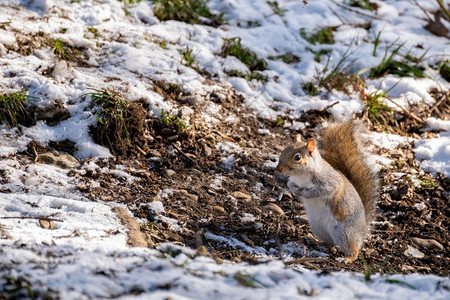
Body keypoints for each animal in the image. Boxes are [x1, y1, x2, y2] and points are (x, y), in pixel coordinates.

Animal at [276, 120, 378, 262]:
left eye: (297, 157)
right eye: (284, 150)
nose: (279, 169)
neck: (301, 176)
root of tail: (362, 231)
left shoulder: (330, 182)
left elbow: (323, 190)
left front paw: (306, 194)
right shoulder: (292, 180)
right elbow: (290, 184)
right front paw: (295, 191)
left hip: (343, 232)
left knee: (353, 250)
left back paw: (347, 258)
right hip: (318, 228)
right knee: (330, 242)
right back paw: (315, 241)